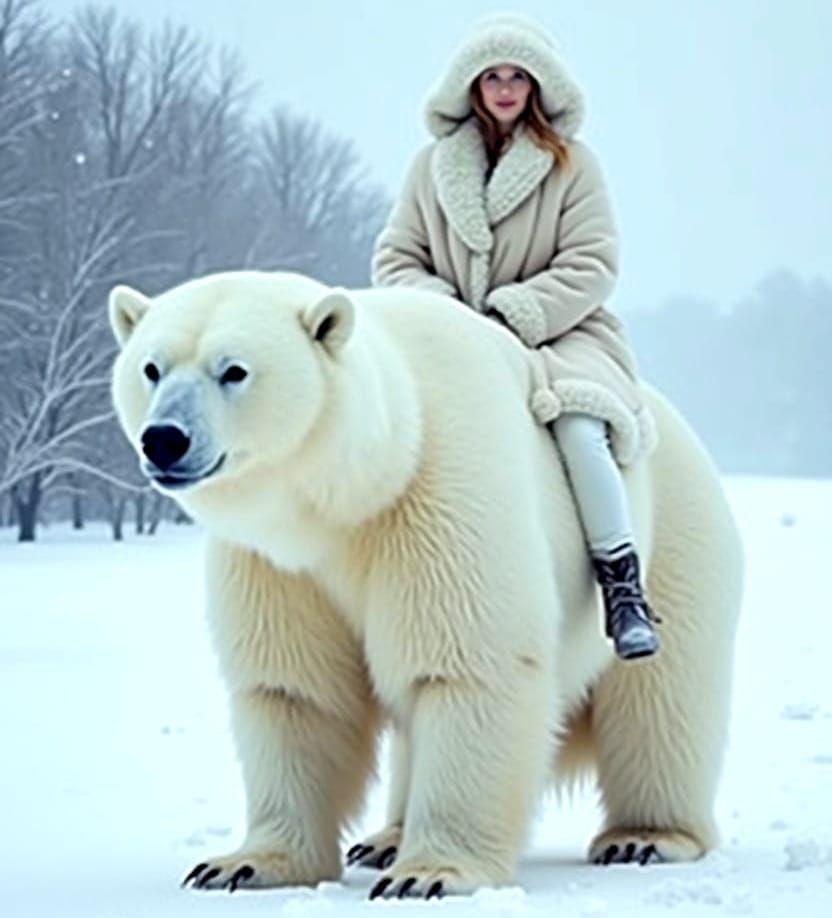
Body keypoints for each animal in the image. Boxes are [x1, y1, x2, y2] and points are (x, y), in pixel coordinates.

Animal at [108, 270, 743, 900]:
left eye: (234, 370)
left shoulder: (439, 492)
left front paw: (430, 874)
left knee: (661, 700)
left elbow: (467, 667)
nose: (163, 438)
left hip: (676, 537)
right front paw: (243, 865)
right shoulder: (278, 563)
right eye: (151, 367)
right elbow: (295, 690)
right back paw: (383, 839)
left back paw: (645, 836)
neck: (356, 490)